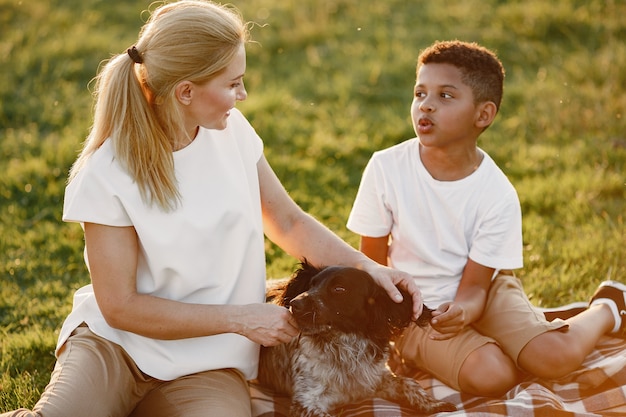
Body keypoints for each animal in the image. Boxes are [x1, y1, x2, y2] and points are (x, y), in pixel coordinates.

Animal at [256, 260, 456, 416]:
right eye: (311, 285)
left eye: (339, 289)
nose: (294, 304)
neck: (344, 346)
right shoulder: (306, 402)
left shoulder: (375, 378)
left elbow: (407, 382)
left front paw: (436, 404)